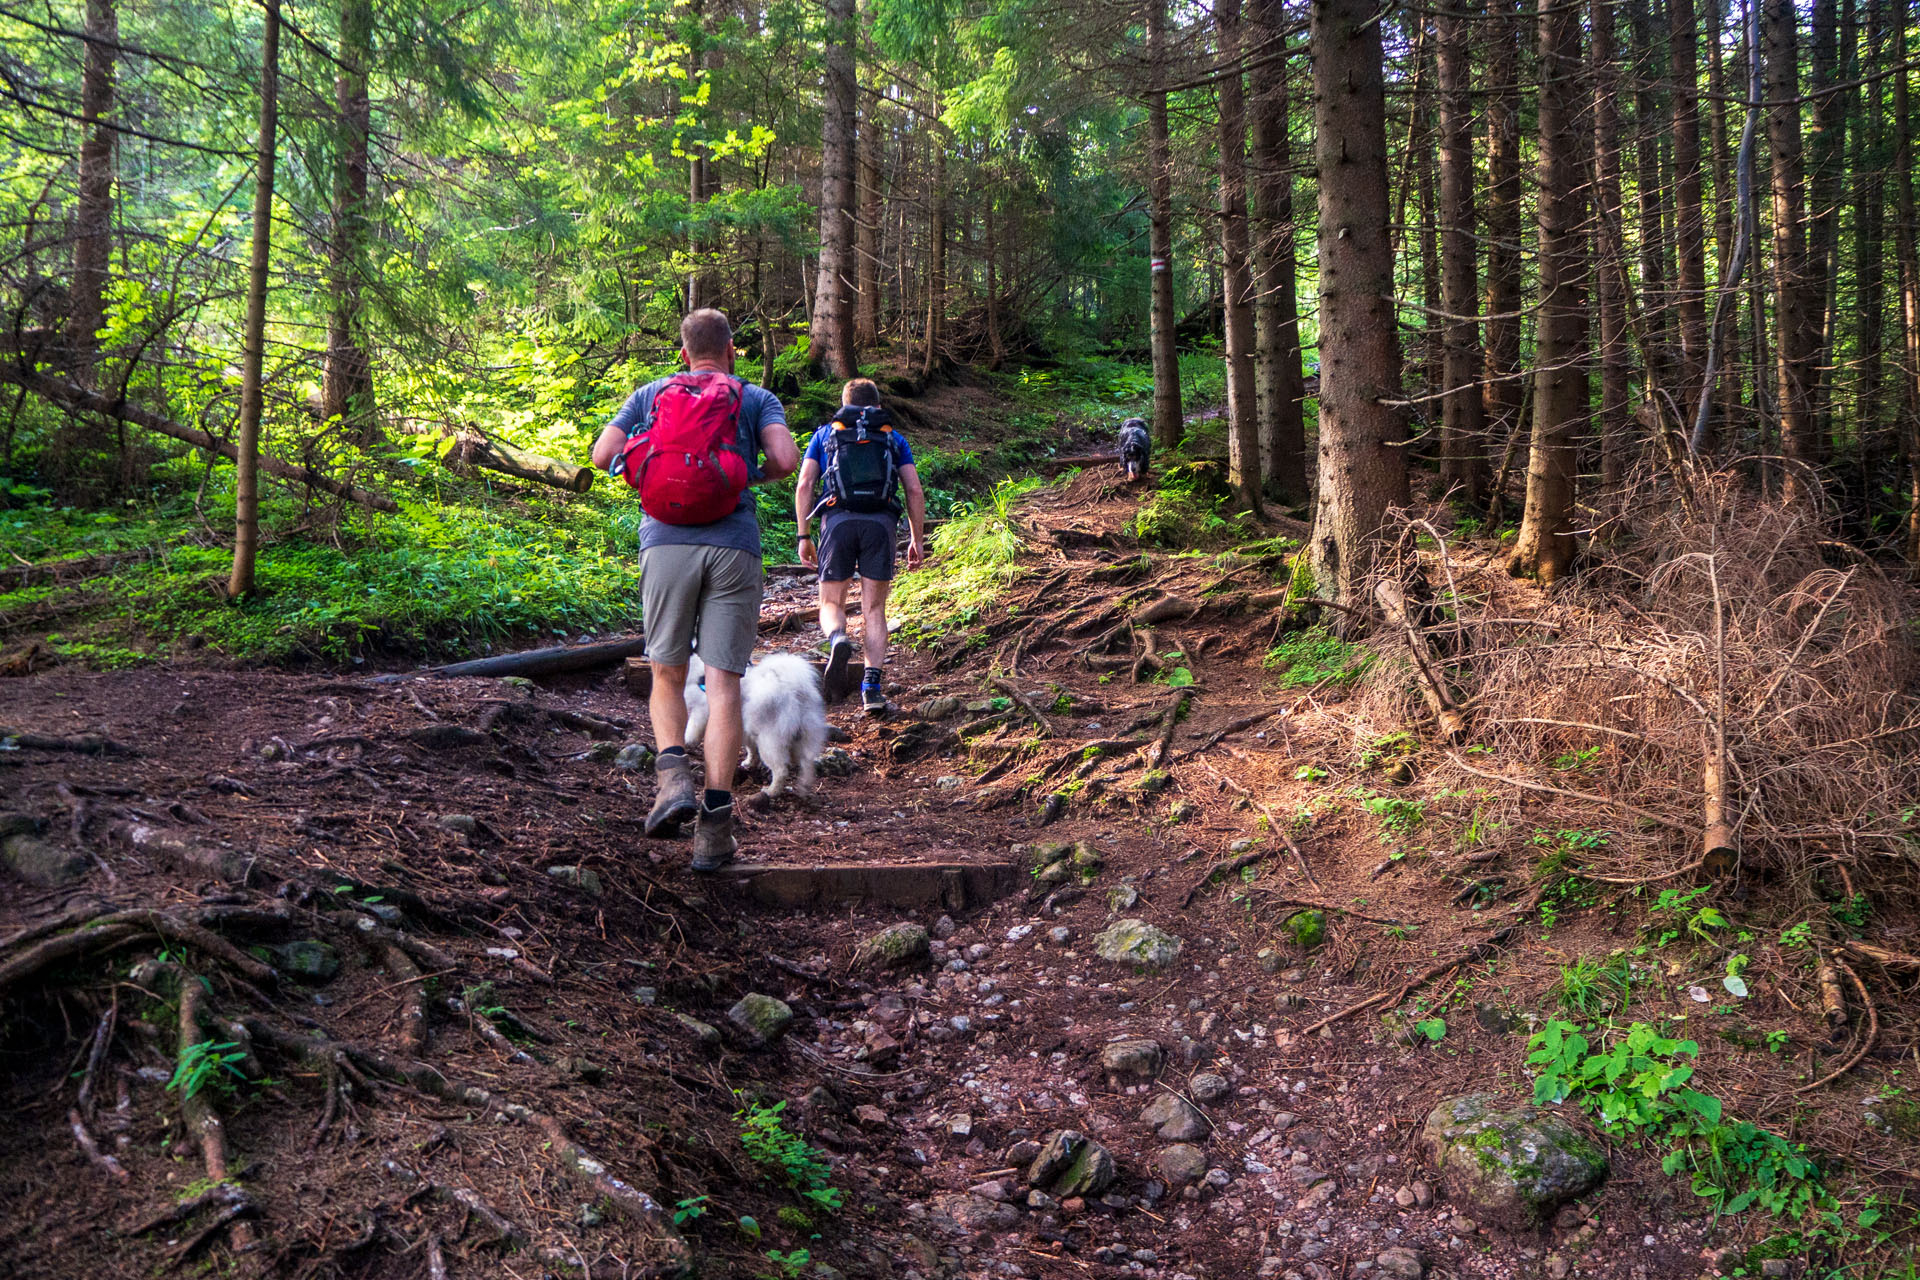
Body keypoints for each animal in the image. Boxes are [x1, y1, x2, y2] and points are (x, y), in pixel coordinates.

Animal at [683, 652, 825, 802]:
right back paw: (804, 788)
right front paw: (749, 762)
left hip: (769, 741)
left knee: (781, 770)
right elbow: (751, 750)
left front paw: (687, 741)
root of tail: (795, 691)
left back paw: (771, 791)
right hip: (802, 738)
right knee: (807, 764)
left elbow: (692, 729)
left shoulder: (701, 710)